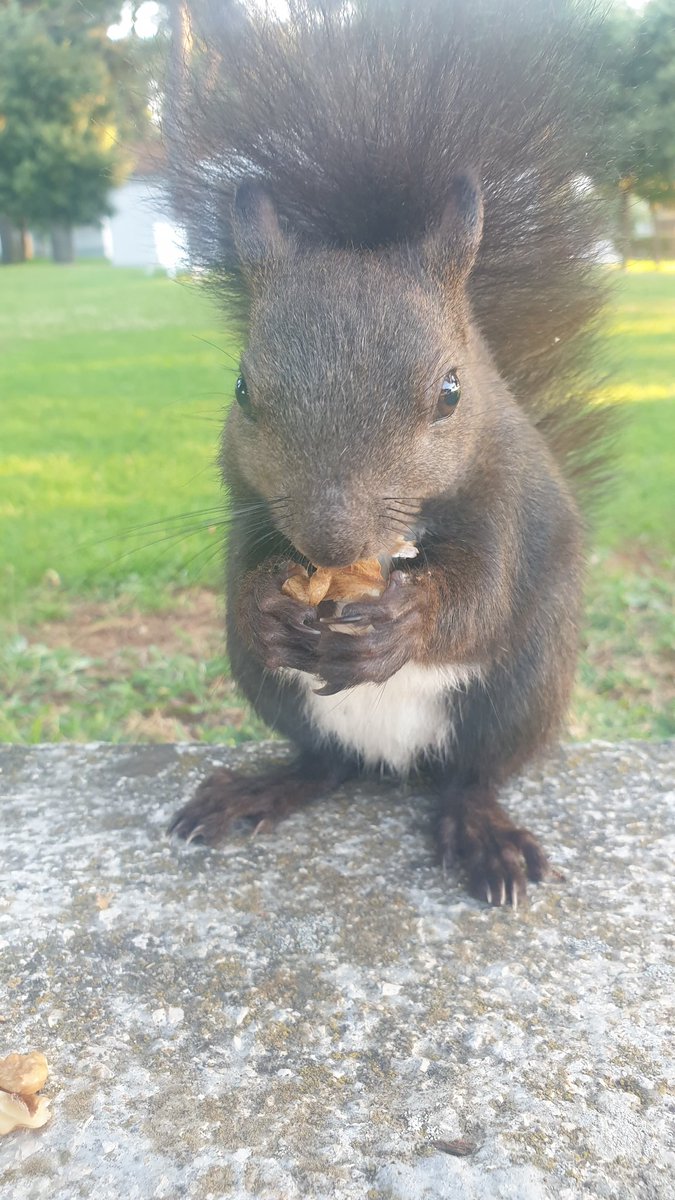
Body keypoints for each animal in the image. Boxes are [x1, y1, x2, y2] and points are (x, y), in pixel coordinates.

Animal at [166, 0, 610, 902]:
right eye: (241, 390)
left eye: (450, 392)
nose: (331, 540)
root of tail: (394, 763)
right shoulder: (243, 501)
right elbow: (242, 570)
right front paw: (266, 601)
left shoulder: (505, 497)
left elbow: (481, 594)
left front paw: (408, 619)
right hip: (273, 695)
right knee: (322, 762)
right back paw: (260, 787)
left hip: (523, 693)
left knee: (474, 771)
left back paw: (482, 832)